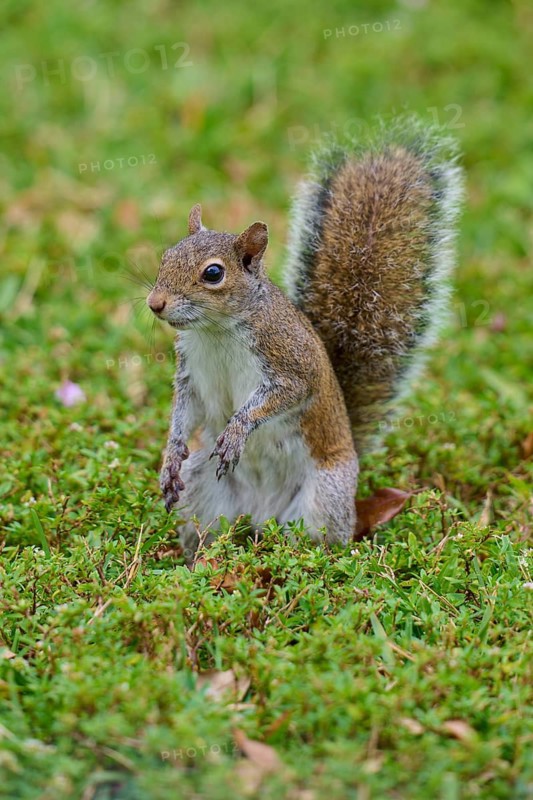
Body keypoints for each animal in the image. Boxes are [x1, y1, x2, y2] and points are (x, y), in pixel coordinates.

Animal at [147, 118, 463, 556]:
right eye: (166, 256)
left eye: (213, 273)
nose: (155, 303)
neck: (216, 331)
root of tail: (261, 517)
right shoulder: (191, 371)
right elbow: (184, 410)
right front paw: (170, 456)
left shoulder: (291, 360)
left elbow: (285, 394)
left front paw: (237, 430)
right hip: (202, 488)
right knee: (206, 530)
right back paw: (197, 560)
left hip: (323, 498)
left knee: (323, 544)